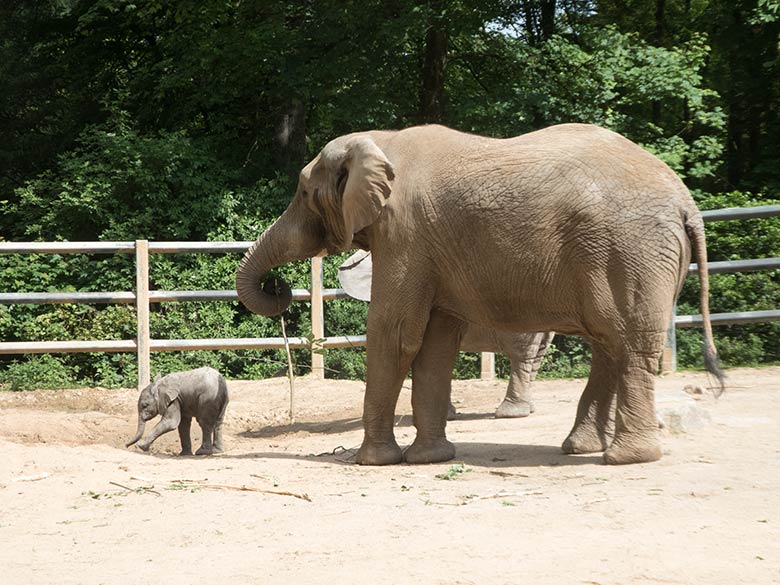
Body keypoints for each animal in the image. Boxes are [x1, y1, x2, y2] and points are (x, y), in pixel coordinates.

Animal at [235, 122, 724, 466]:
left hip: (628, 249)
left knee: (628, 342)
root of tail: (686, 202)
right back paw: (581, 448)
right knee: (610, 342)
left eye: (303, 192)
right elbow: (435, 342)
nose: (277, 286)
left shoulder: (405, 234)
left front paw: (371, 461)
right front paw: (429, 459)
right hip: (638, 255)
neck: (381, 140)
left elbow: (396, 333)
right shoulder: (430, 247)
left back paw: (626, 458)